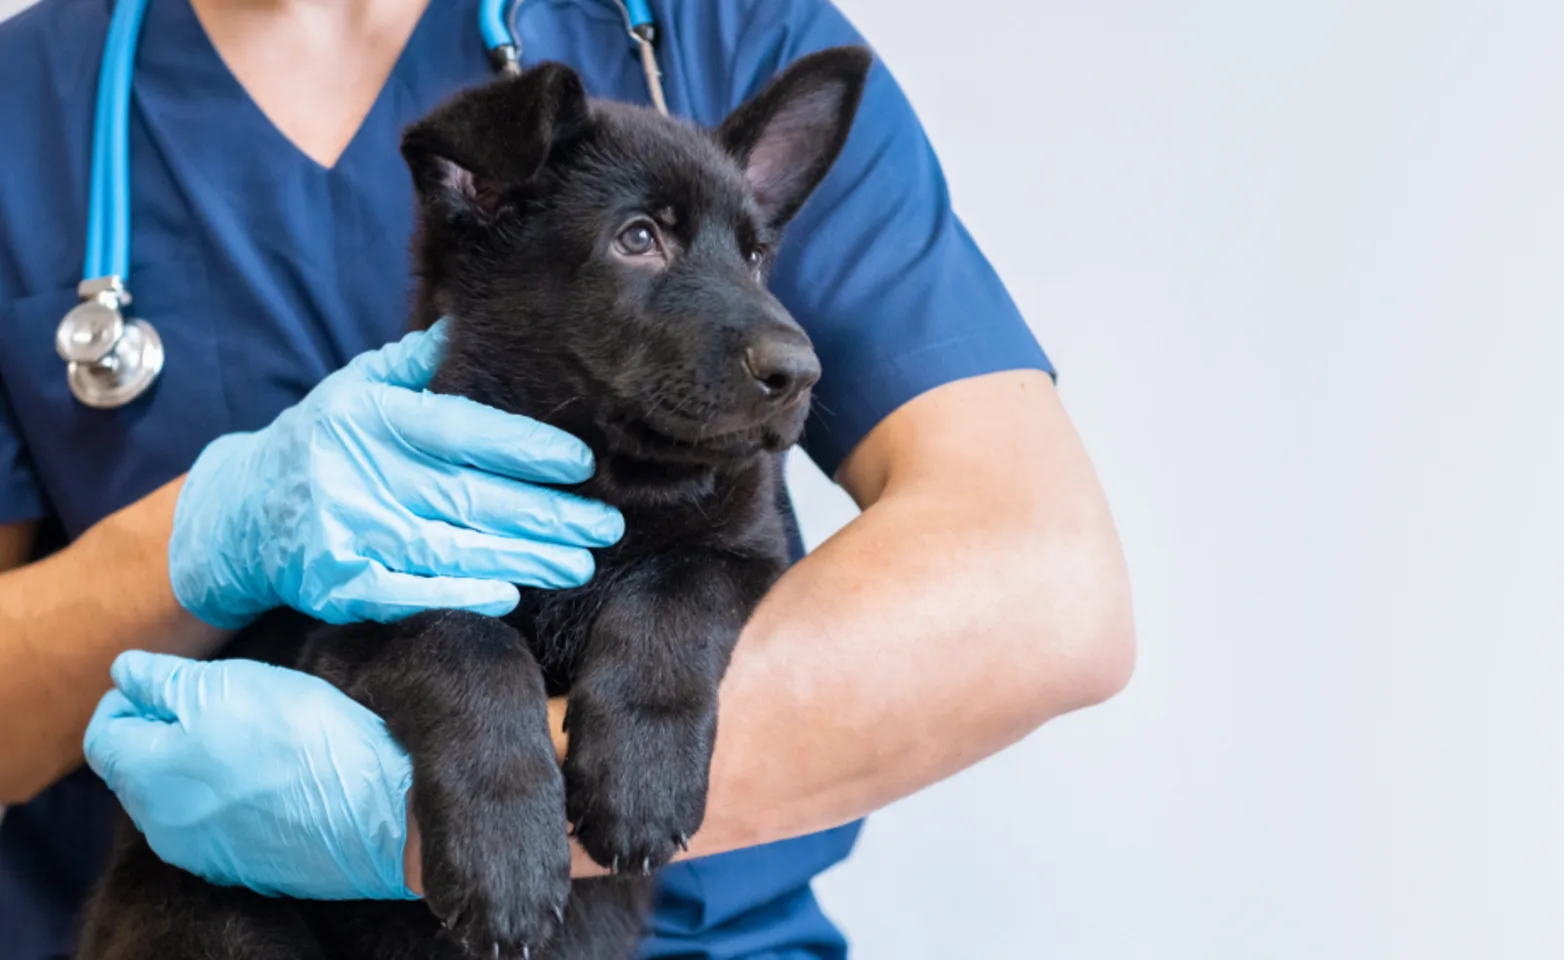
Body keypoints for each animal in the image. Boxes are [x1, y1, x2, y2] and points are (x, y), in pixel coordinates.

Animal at [76, 45, 869, 960]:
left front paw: (641, 779)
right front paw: (507, 856)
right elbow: (468, 648)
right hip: (210, 920)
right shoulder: (352, 624)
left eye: (756, 258)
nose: (800, 373)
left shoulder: (745, 548)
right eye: (639, 238)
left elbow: (674, 591)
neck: (607, 478)